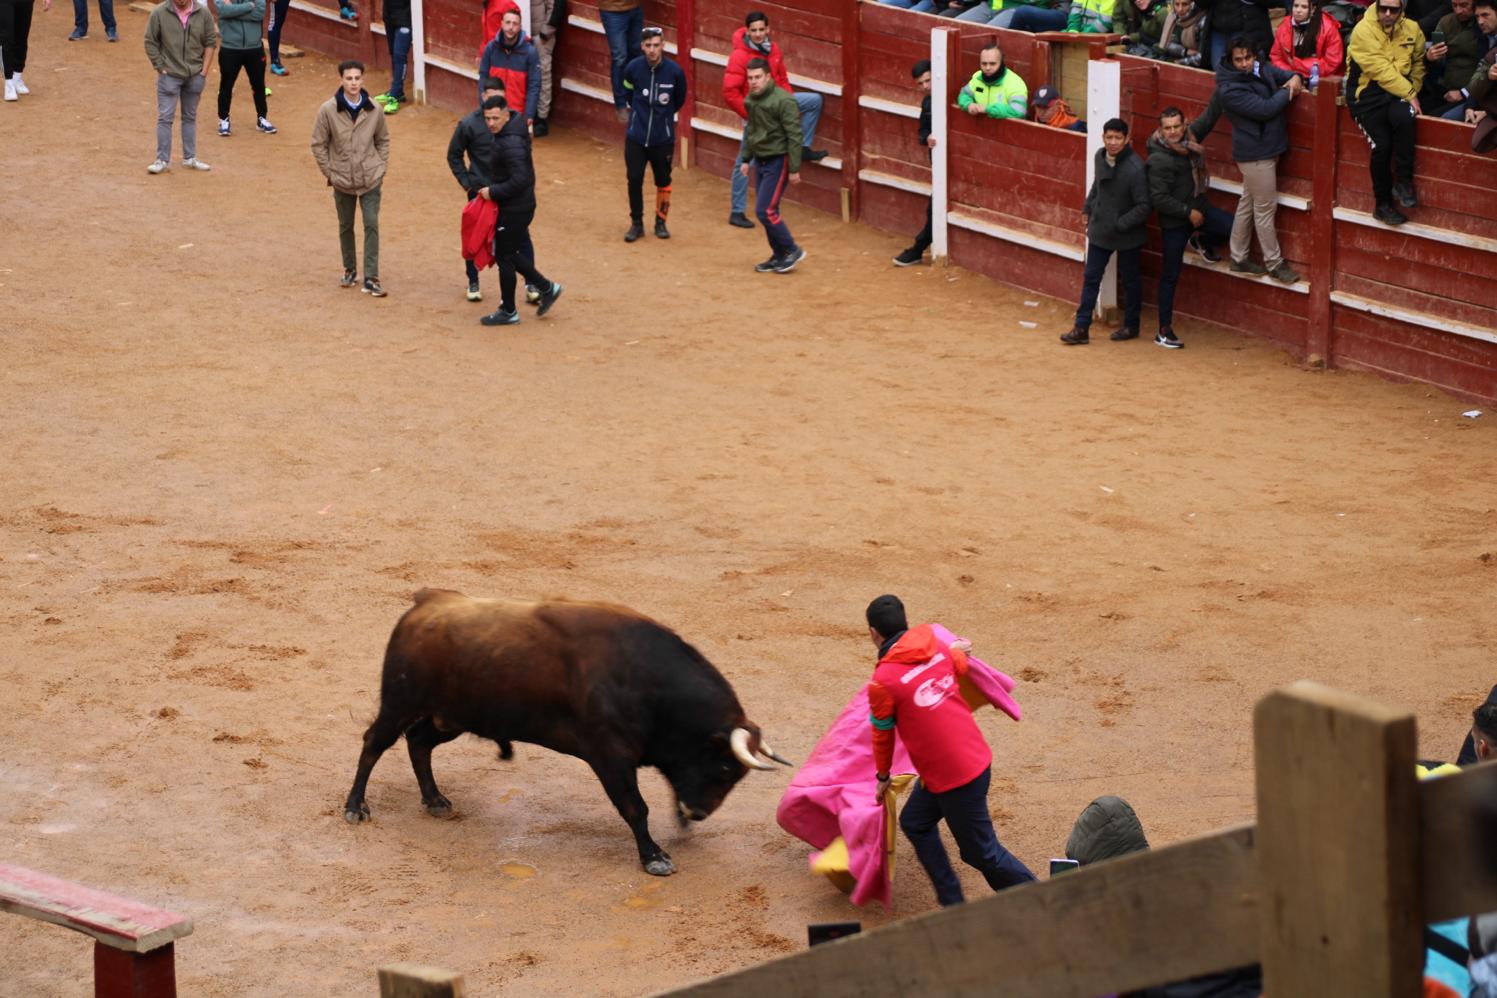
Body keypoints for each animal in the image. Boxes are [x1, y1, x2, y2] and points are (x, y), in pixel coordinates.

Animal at [342, 589, 790, 879]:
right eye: (725, 769)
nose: (698, 813)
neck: (648, 683)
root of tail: (426, 603)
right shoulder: (610, 757)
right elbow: (635, 807)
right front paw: (654, 857)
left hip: (452, 718)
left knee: (419, 742)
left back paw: (435, 800)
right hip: (400, 703)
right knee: (373, 743)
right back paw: (355, 807)